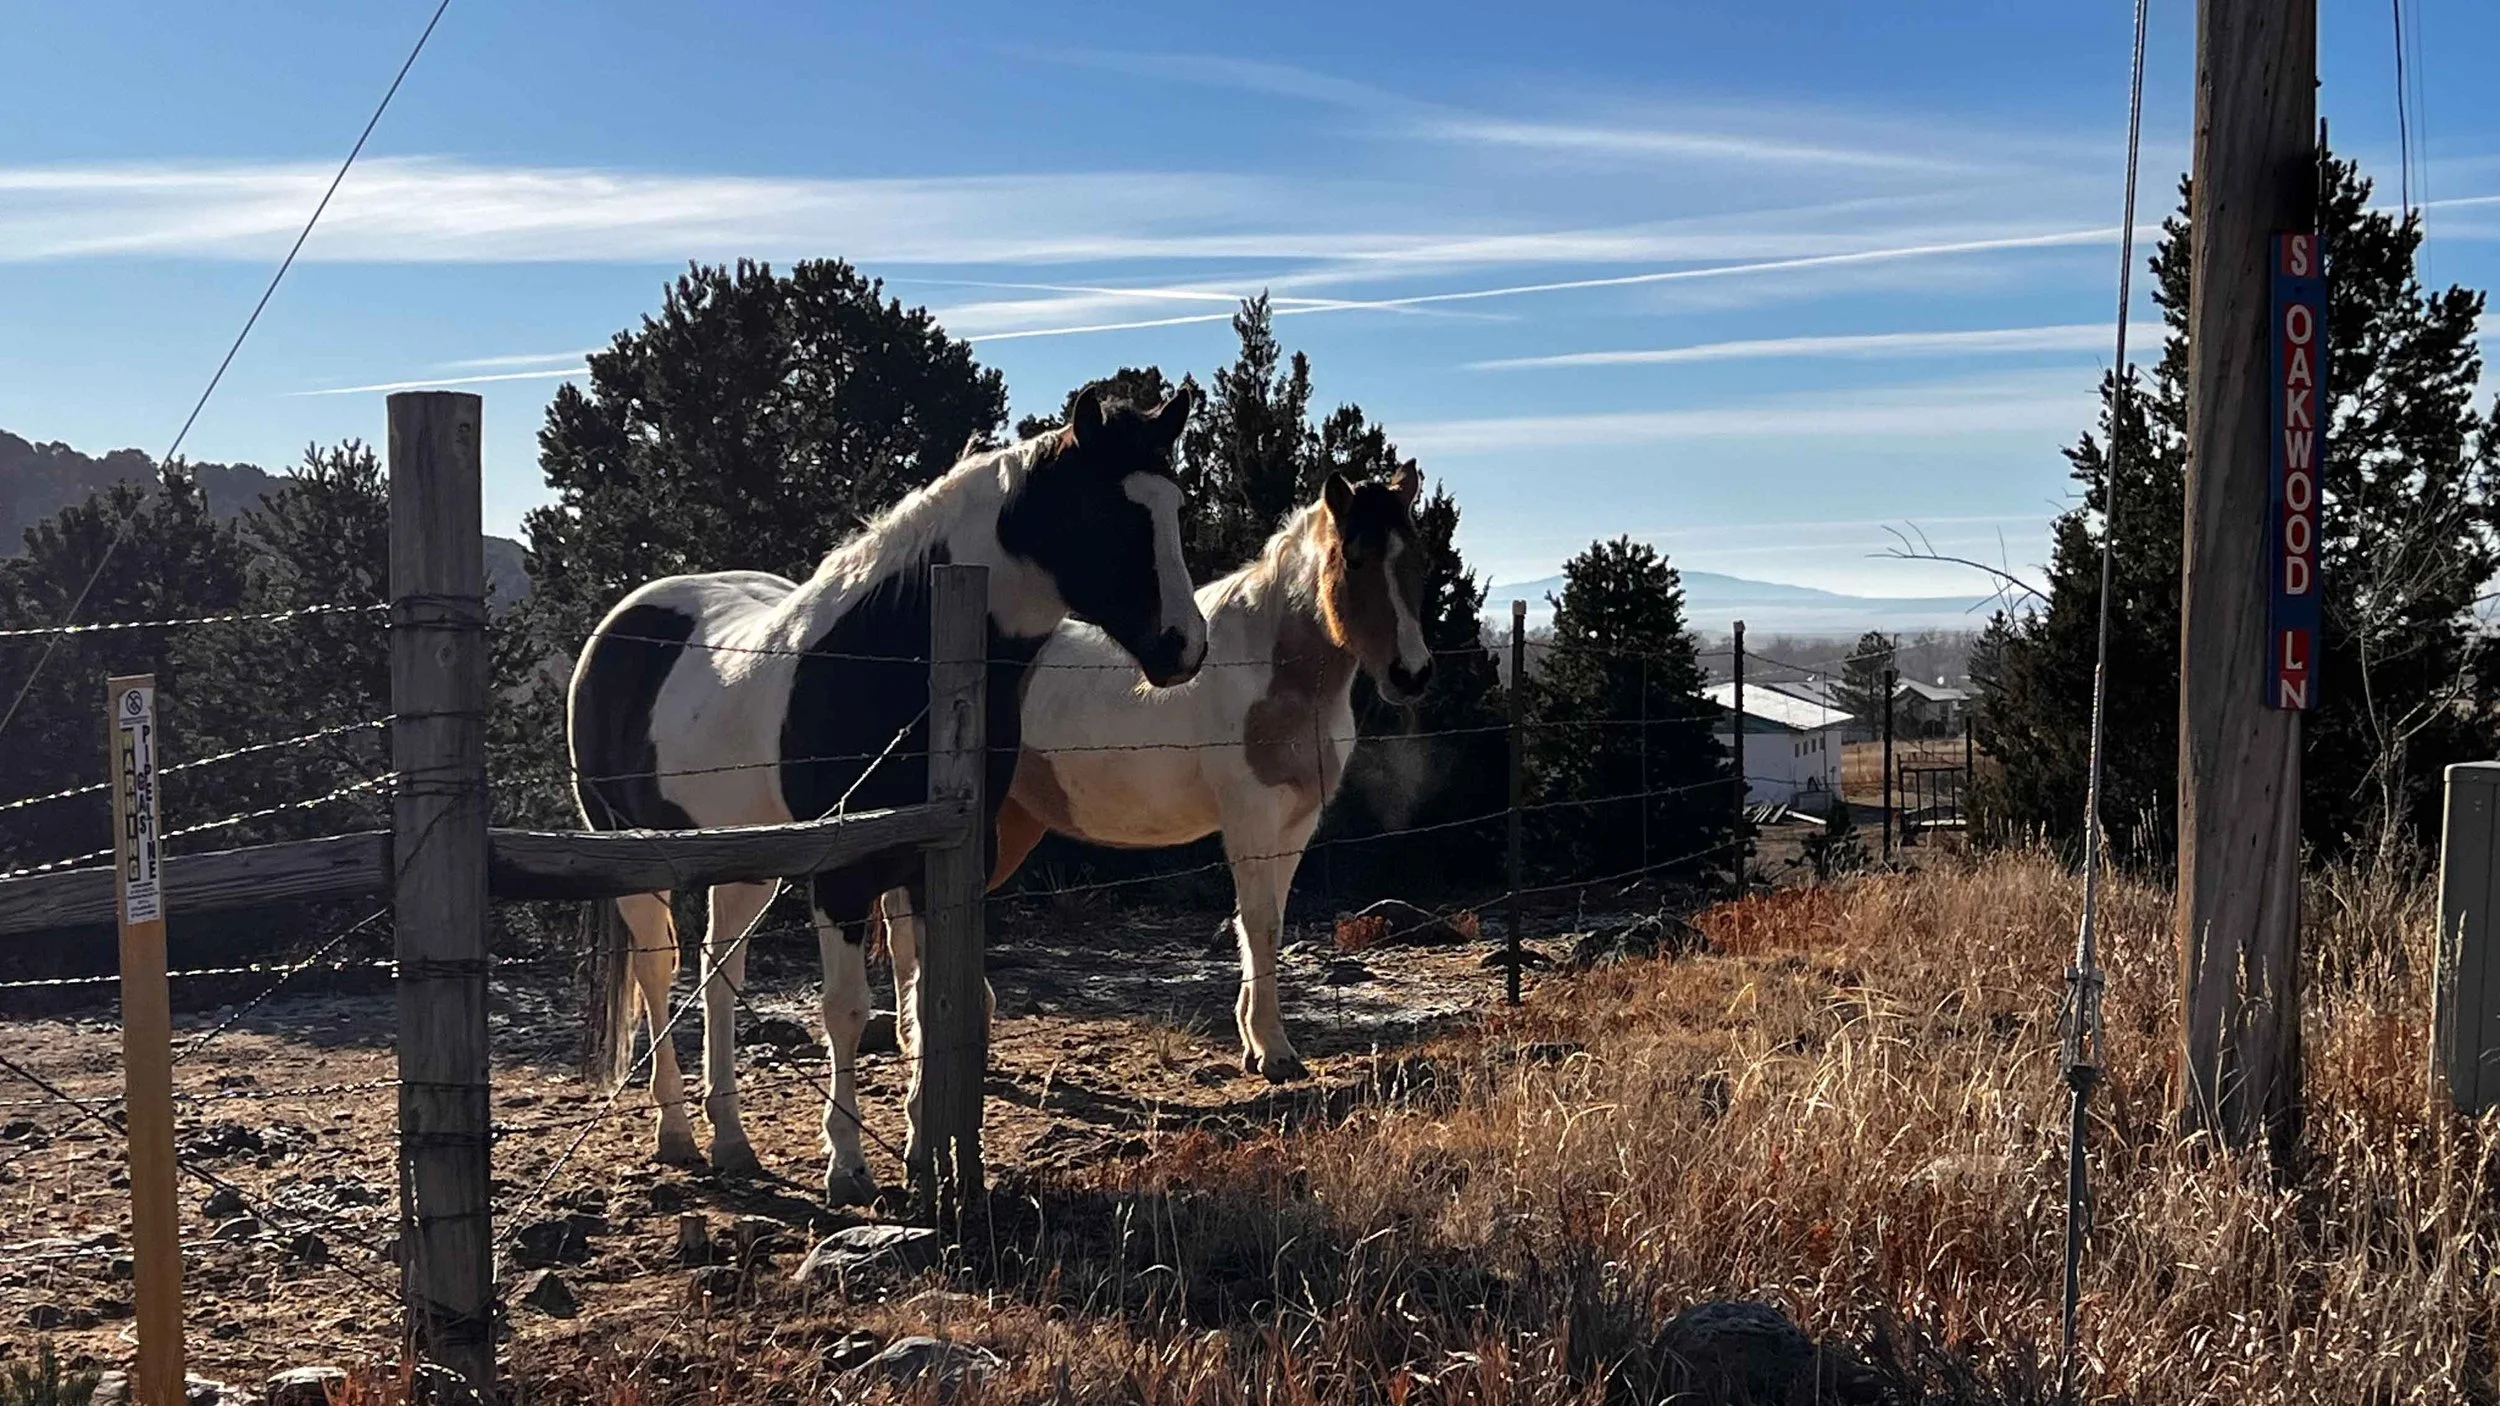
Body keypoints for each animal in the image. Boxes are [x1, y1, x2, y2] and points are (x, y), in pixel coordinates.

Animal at [566, 385, 1206, 1205]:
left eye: (1174, 506)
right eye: (1105, 510)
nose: (1184, 646)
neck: (895, 660)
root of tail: (619, 626)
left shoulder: (942, 864)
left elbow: (933, 1005)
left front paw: (922, 1154)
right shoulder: (842, 875)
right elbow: (848, 1011)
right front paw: (848, 1165)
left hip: (744, 866)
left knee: (718, 975)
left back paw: (733, 1143)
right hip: (636, 854)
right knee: (658, 970)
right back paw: (676, 1133)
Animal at [873, 465, 1432, 1085]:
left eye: (1418, 559)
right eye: (1354, 560)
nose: (1411, 674)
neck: (1273, 672)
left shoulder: (1295, 824)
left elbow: (1272, 924)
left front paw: (1255, 1040)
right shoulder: (1251, 820)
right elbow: (1258, 923)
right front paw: (1273, 1050)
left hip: (1011, 824)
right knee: (909, 913)